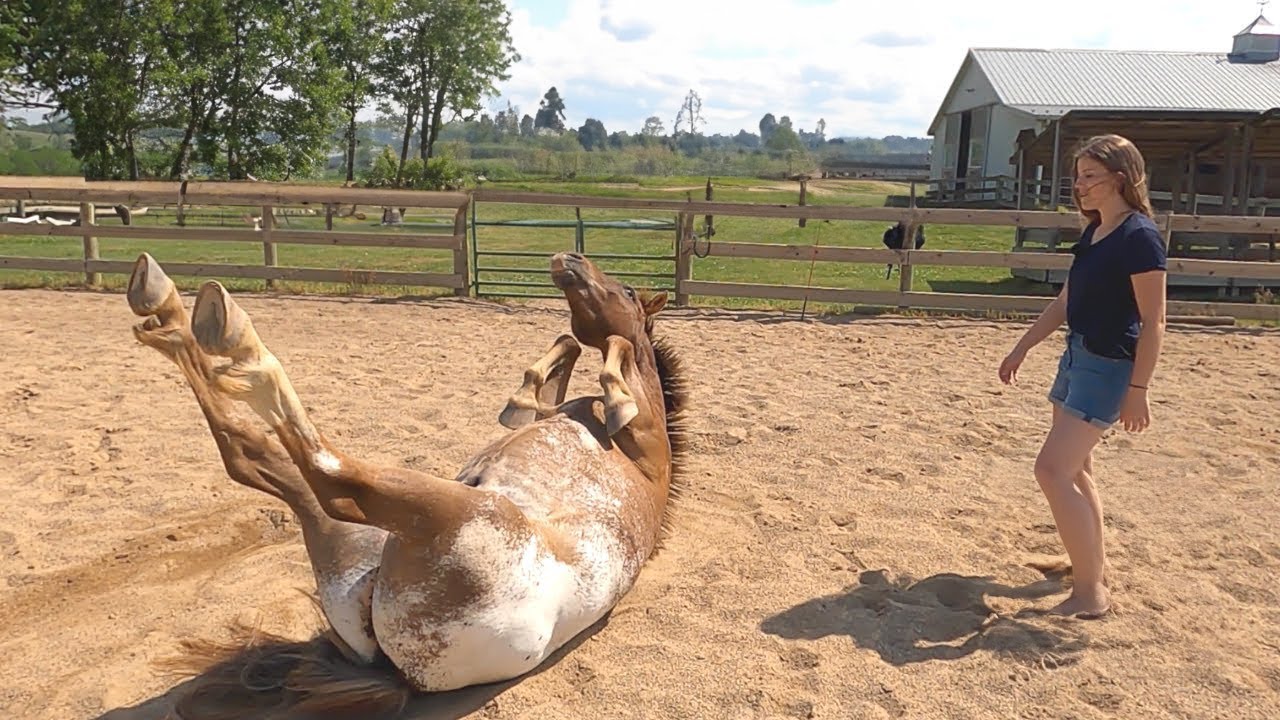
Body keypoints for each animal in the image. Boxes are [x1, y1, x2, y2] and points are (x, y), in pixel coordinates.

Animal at [123, 250, 688, 718]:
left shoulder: (637, 428)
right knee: (250, 455)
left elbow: (613, 345)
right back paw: (169, 315)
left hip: (448, 513)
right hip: (359, 539)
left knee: (327, 475)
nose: (569, 259)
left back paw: (218, 328)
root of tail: (401, 676)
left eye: (629, 291)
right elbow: (570, 347)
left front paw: (609, 394)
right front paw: (521, 399)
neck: (645, 453)